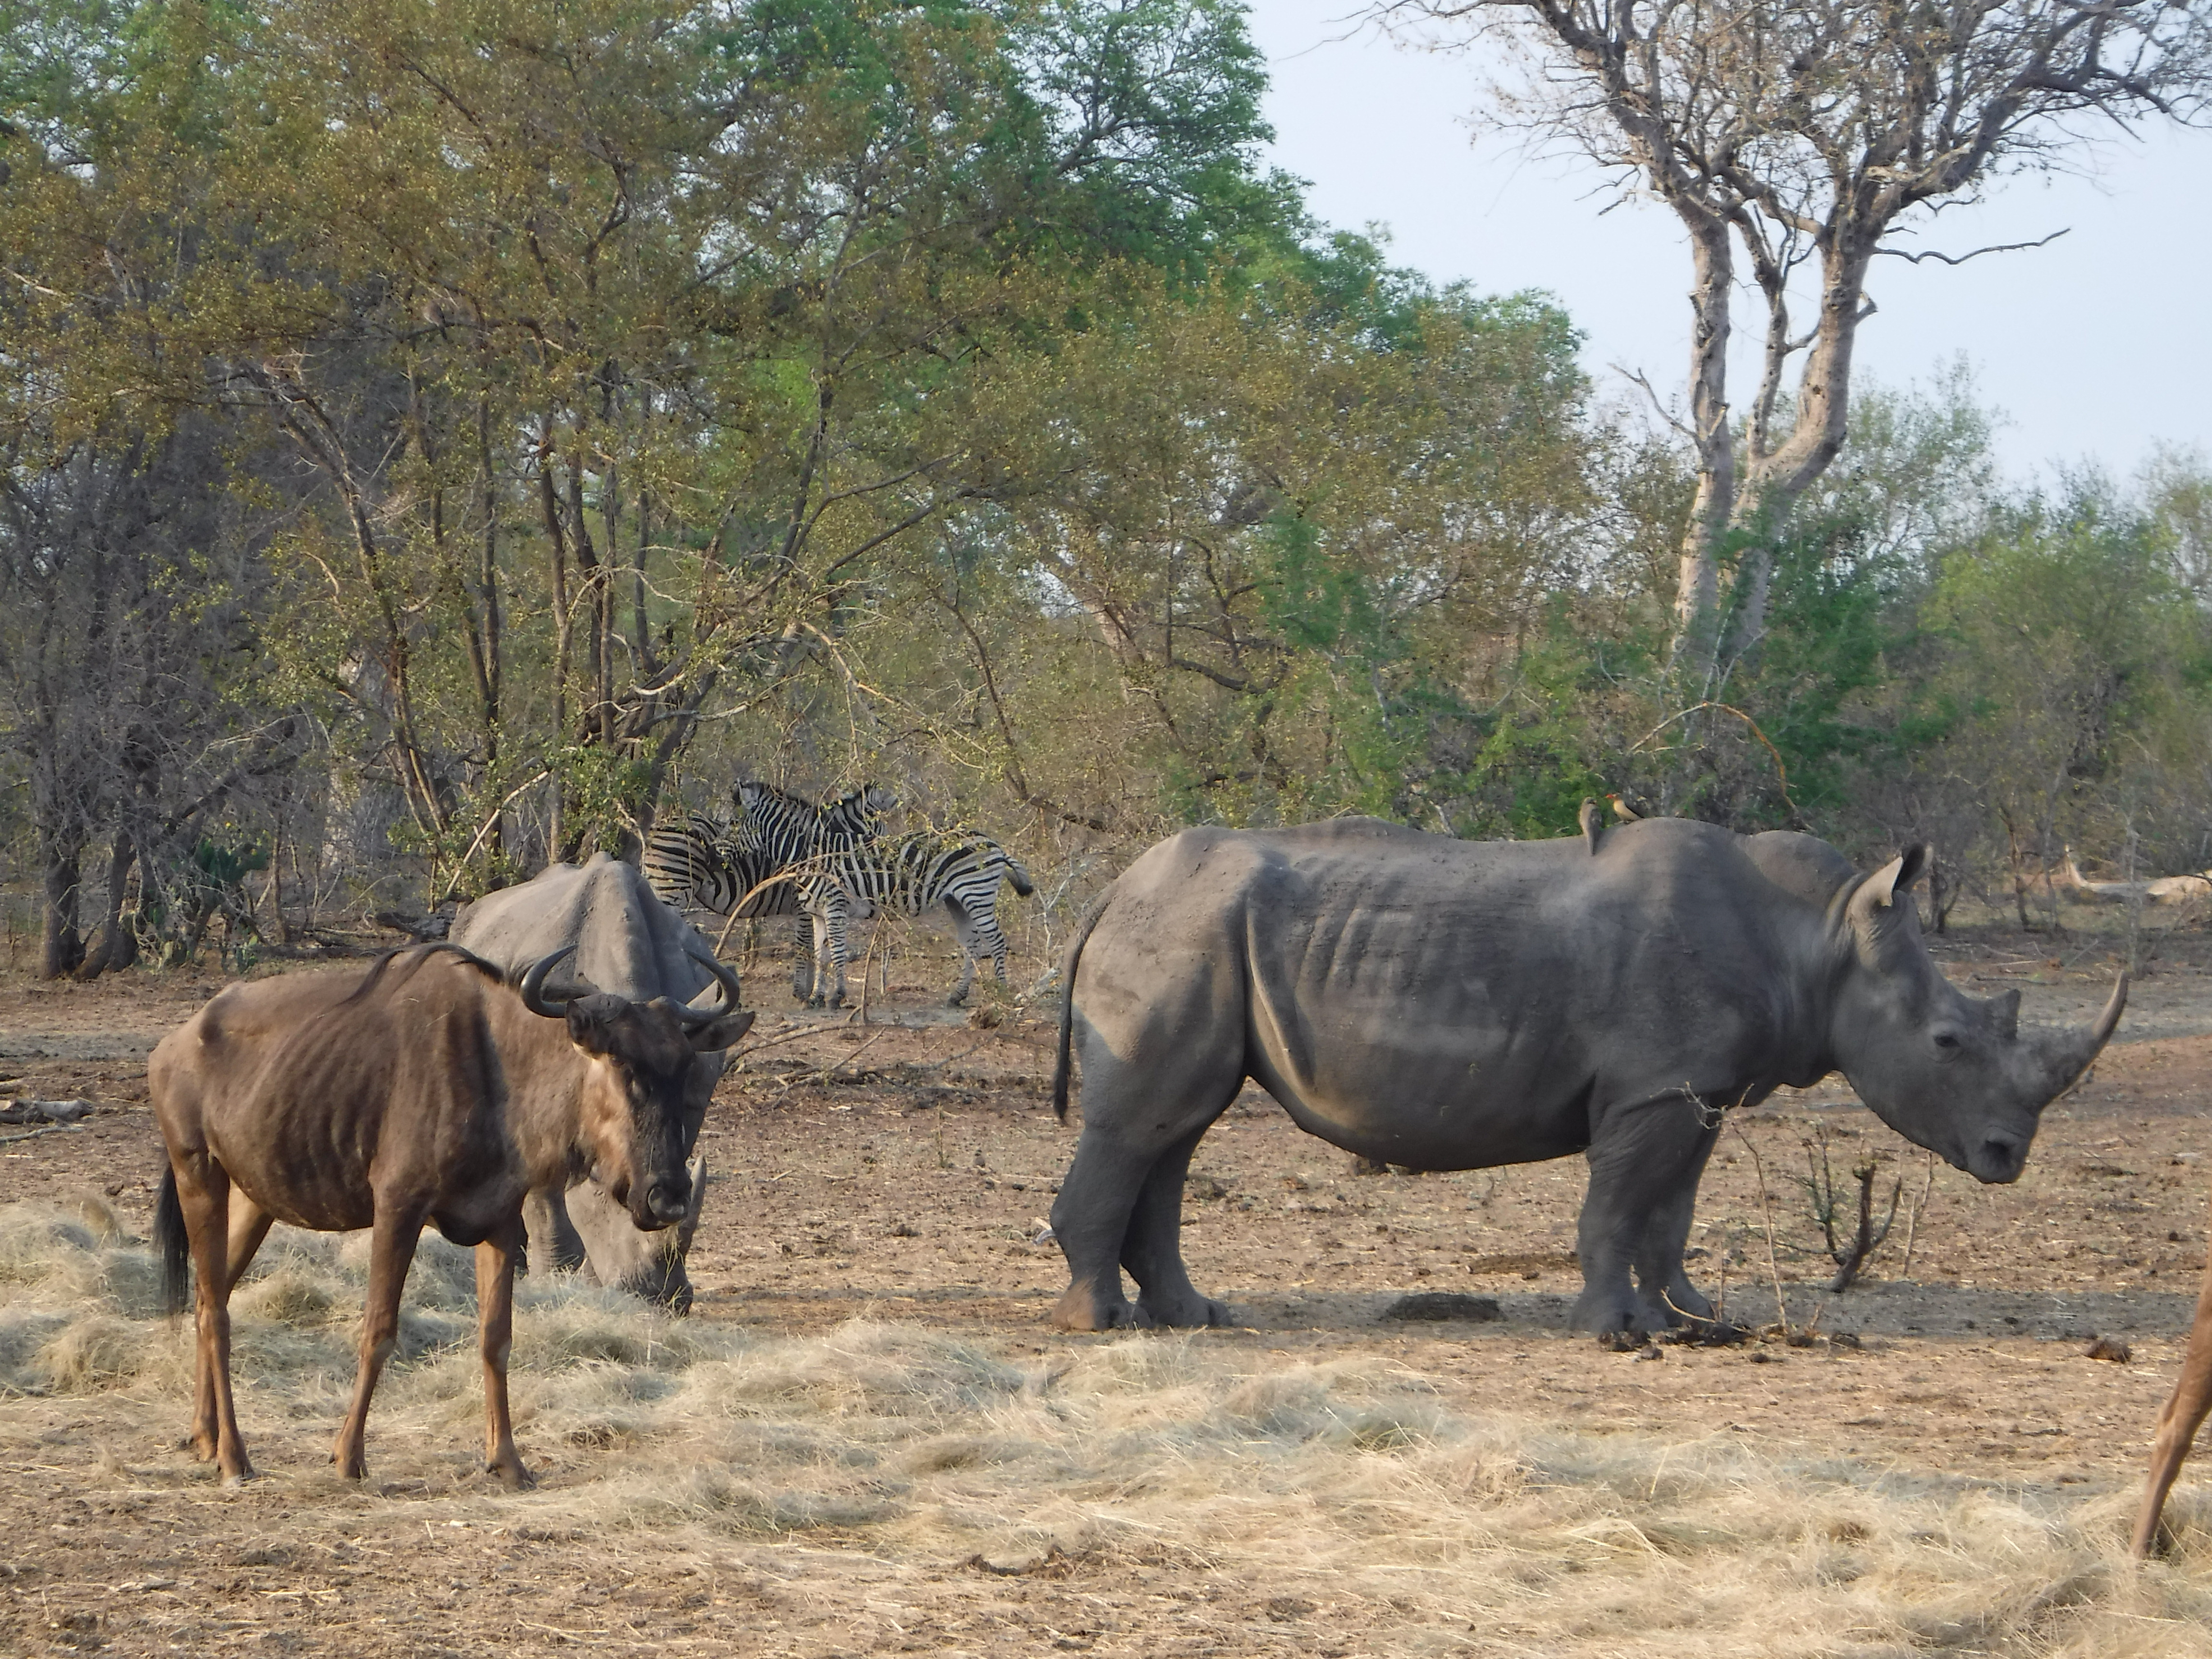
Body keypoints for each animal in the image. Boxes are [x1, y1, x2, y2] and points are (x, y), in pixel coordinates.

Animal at [742, 826, 1036, 1009]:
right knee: (971, 945)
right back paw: (957, 996)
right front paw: (816, 997)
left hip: (978, 893)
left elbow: (836, 953)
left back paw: (1001, 992)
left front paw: (836, 997)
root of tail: (995, 845)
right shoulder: (818, 913)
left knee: (996, 942)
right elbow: (820, 954)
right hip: (958, 901)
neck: (811, 853)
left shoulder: (835, 906)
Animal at [1047, 817, 2126, 1336]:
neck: (1818, 938)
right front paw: (1616, 1332)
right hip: (1180, 934)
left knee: (1178, 1129)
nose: (2007, 1155)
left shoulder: (1697, 1091)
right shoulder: (1653, 1088)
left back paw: (1193, 1318)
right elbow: (1616, 1205)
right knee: (1151, 1124)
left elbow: (1671, 1212)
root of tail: (1108, 892)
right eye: (1947, 1042)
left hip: (1198, 936)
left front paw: (1692, 1319)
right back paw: (1103, 1325)